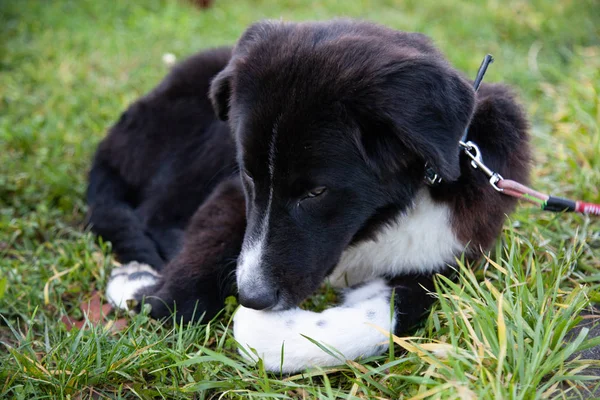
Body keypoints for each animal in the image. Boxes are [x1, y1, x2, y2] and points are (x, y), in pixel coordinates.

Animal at [90, 20, 528, 374]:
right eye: (249, 176)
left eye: (316, 192)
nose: (252, 297)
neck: (382, 218)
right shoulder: (233, 193)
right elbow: (181, 291)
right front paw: (144, 289)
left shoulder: (446, 262)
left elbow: (378, 318)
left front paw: (270, 333)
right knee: (154, 214)